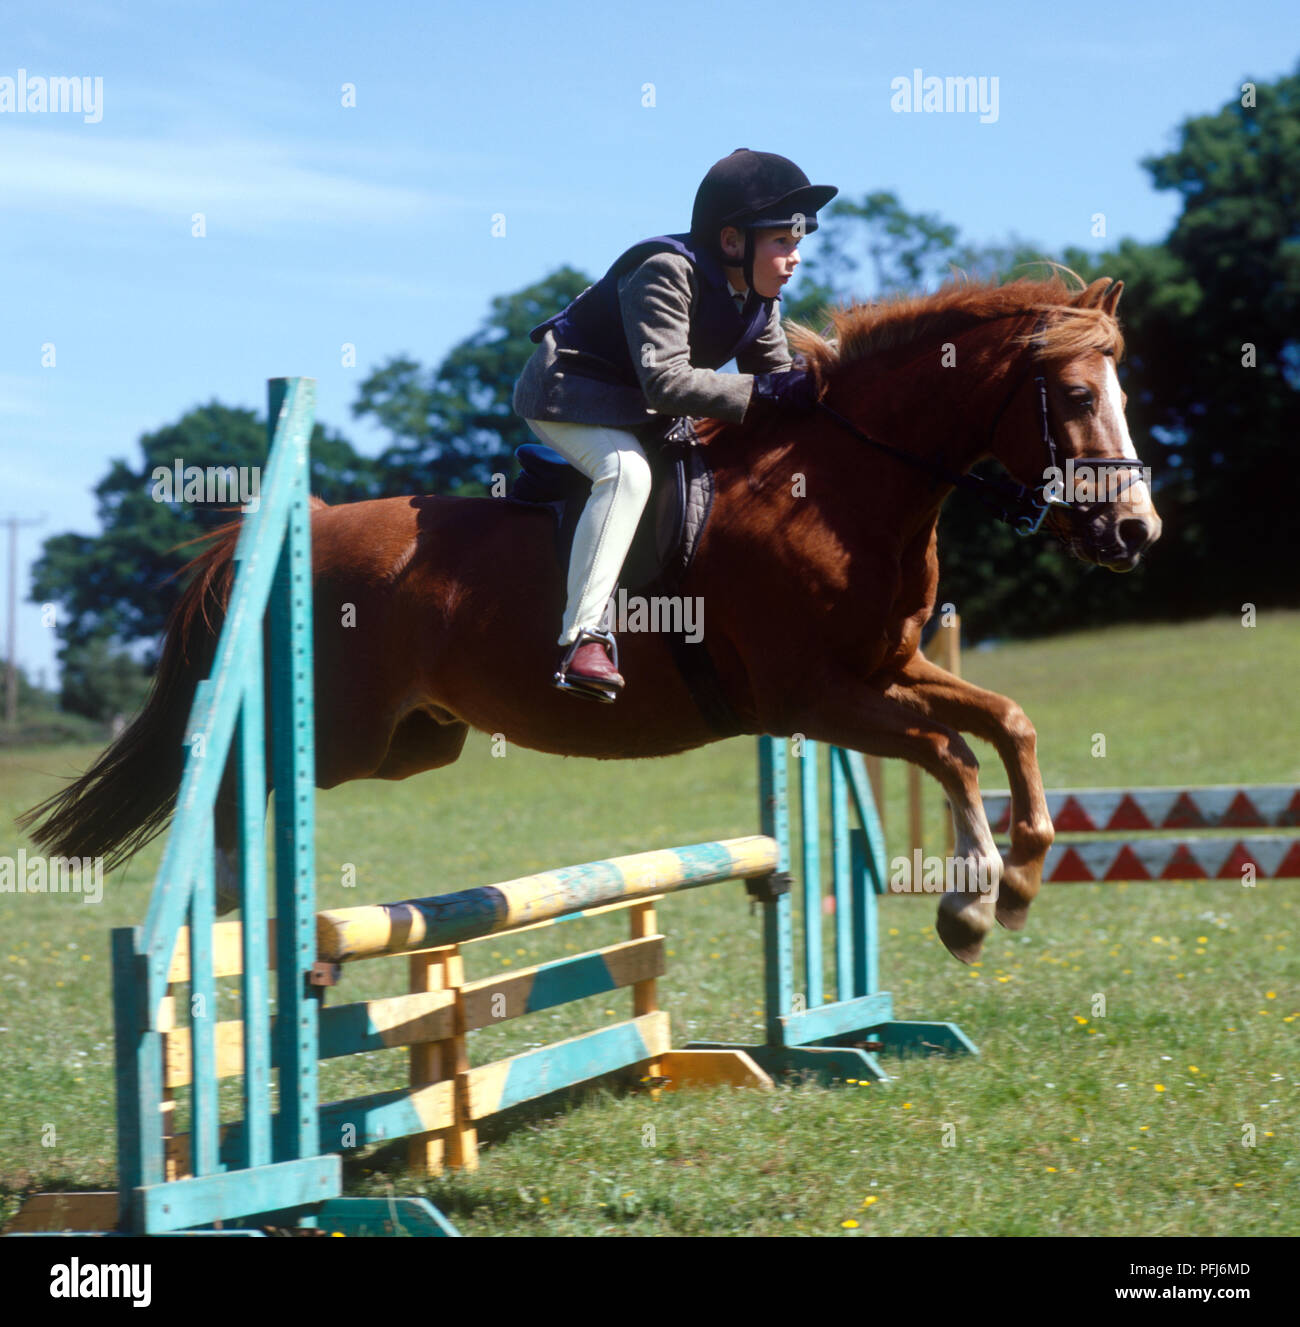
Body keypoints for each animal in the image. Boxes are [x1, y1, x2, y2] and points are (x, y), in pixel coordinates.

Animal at [20, 277, 1156, 966]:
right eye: (1072, 394)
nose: (1137, 529)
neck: (838, 482)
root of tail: (304, 519)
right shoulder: (815, 698)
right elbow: (950, 752)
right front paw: (970, 905)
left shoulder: (887, 669)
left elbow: (1004, 722)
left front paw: (1018, 877)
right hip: (338, 733)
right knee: (227, 783)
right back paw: (225, 934)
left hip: (410, 744)